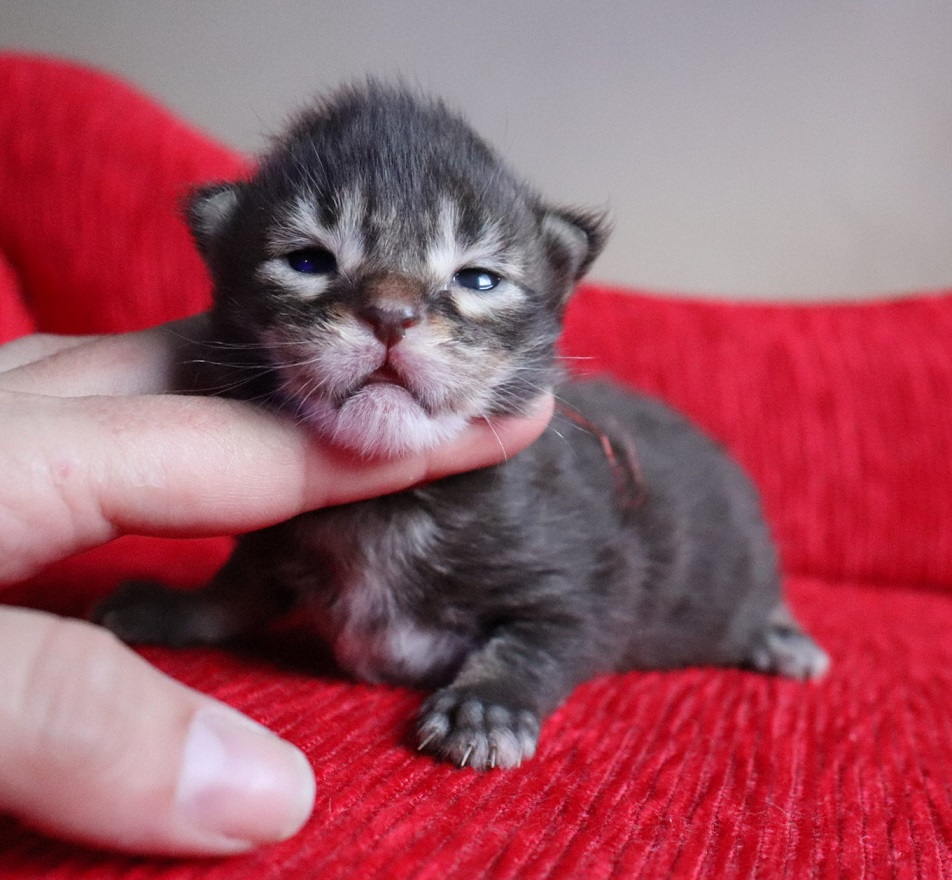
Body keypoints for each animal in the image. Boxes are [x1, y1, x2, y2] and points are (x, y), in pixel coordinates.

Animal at [93, 82, 828, 768]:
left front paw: (485, 707)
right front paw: (172, 608)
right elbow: (234, 591)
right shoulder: (273, 547)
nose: (391, 315)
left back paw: (780, 639)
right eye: (308, 261)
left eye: (477, 279)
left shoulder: (587, 586)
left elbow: (539, 642)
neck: (385, 509)